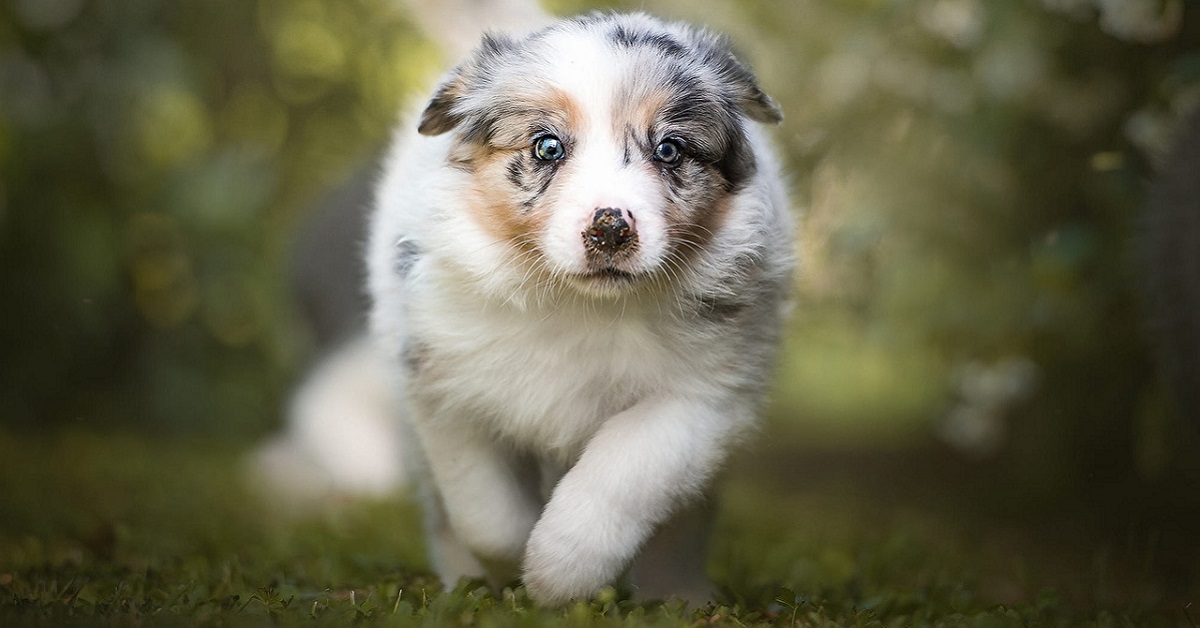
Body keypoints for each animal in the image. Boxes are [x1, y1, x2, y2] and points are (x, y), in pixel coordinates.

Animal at [364, 9, 796, 607]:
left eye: (669, 150)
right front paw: (510, 566)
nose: (610, 228)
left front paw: (558, 572)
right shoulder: (442, 381)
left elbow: (624, 472)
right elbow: (485, 510)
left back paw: (681, 593)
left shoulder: (703, 396)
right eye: (547, 148)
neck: (580, 305)